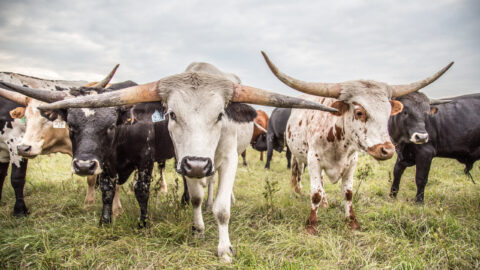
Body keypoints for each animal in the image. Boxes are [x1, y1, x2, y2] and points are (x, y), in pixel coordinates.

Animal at [6, 59, 338, 264]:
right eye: (172, 114)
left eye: (220, 114)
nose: (198, 163)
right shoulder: (183, 159)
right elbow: (195, 197)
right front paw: (198, 228)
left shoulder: (228, 158)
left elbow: (222, 209)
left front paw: (225, 248)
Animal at [262, 51, 454, 233]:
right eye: (360, 112)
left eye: (388, 113)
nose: (387, 150)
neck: (337, 142)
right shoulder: (313, 159)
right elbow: (315, 193)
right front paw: (311, 225)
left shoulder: (351, 162)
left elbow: (347, 193)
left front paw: (352, 222)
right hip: (298, 155)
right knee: (299, 174)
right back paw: (299, 192)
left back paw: (325, 203)